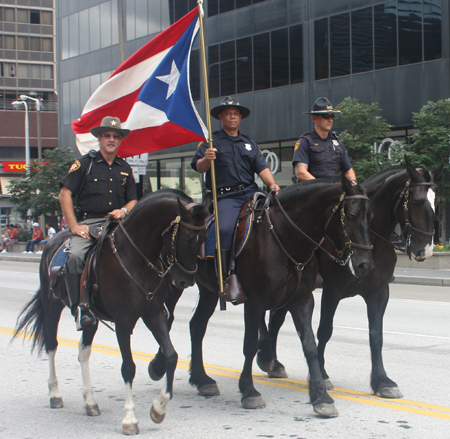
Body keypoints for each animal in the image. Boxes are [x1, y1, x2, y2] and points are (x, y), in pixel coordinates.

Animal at [11, 189, 213, 436]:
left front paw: (159, 408)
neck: (136, 256)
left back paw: (90, 401)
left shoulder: (154, 314)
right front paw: (130, 419)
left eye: (205, 237)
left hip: (91, 318)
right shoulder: (123, 322)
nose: (186, 280)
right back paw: (55, 394)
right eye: (185, 238)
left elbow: (171, 356)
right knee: (51, 345)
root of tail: (52, 241)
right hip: (52, 306)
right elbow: (128, 367)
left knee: (83, 352)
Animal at [147, 174, 372, 418]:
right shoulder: (255, 302)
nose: (365, 265)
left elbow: (310, 345)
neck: (285, 236)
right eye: (351, 215)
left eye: (369, 215)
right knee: (167, 318)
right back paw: (158, 365)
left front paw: (321, 397)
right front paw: (249, 391)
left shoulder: (302, 300)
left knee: (196, 325)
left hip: (209, 290)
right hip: (175, 281)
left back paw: (202, 379)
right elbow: (250, 344)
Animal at [256, 158, 442, 398]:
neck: (371, 239)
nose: (425, 251)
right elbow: (324, 331)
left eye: (437, 202)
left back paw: (273, 362)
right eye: (417, 201)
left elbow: (376, 336)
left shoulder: (379, 292)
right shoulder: (332, 291)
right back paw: (268, 358)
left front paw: (382, 381)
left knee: (277, 317)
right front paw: (322, 375)